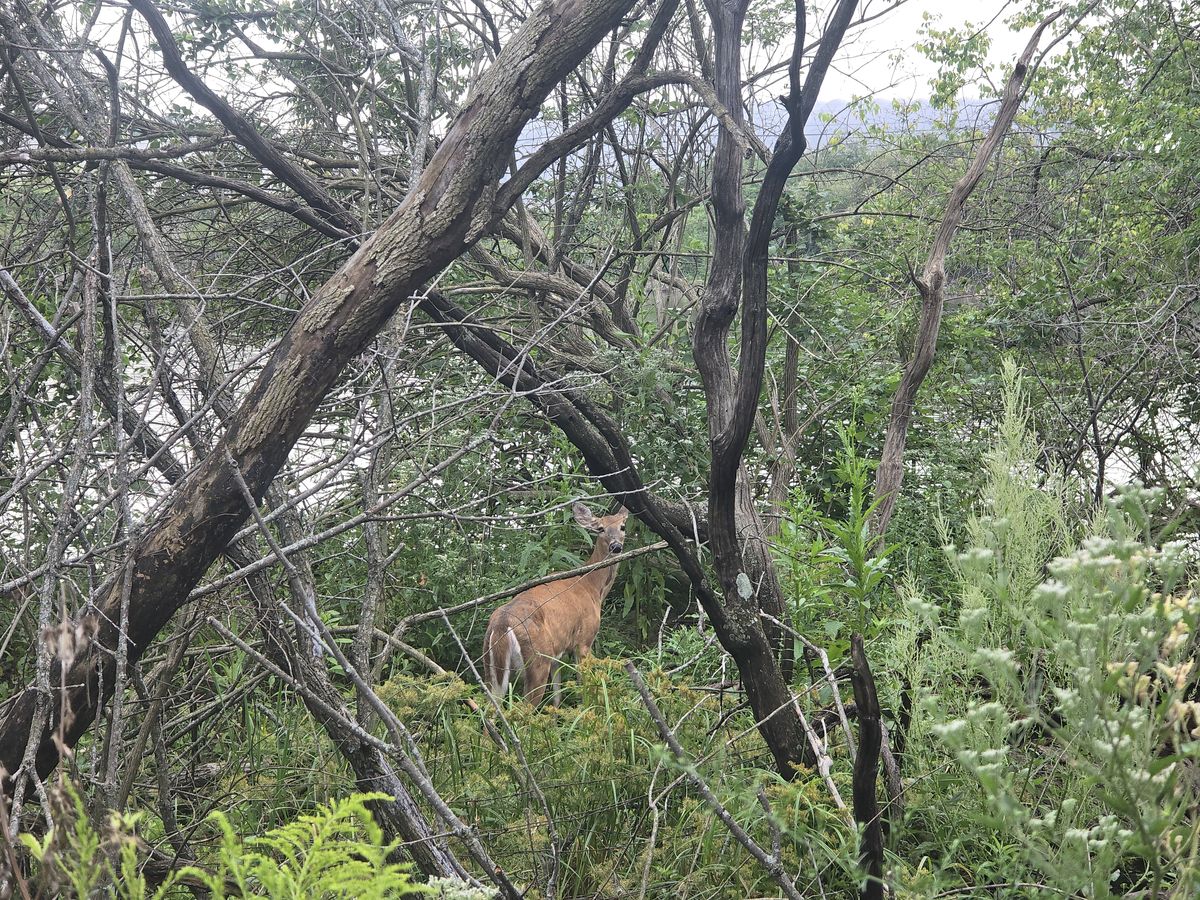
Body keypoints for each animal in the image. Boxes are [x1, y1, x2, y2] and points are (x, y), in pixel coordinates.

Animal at [481, 502, 630, 706]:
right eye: (600, 528)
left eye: (622, 526)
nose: (616, 546)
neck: (592, 586)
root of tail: (502, 624)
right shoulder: (583, 641)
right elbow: (584, 687)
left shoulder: (557, 653)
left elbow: (557, 694)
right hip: (537, 659)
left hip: (491, 667)